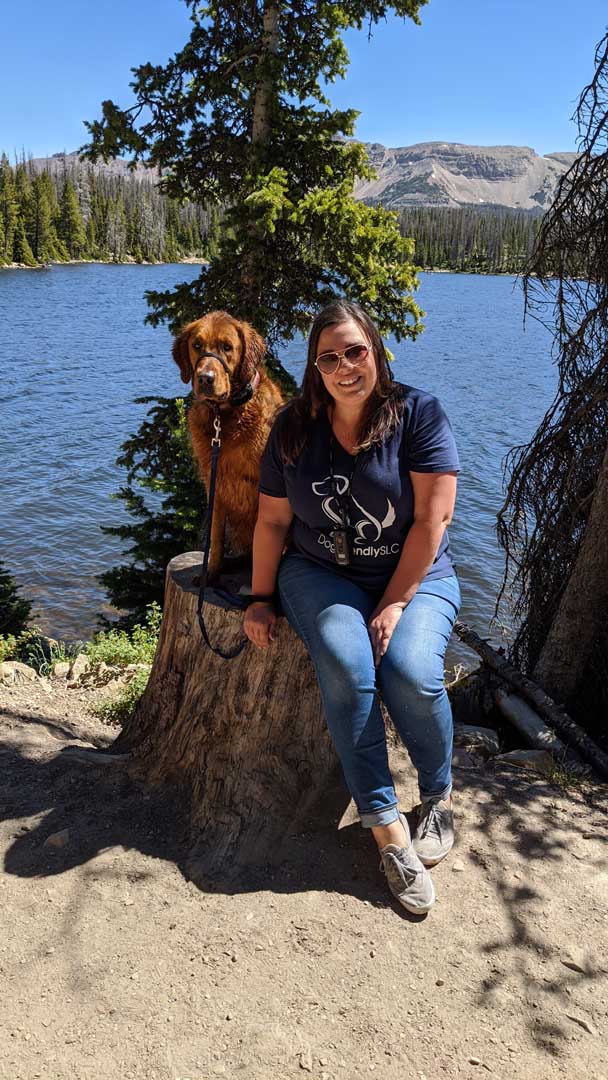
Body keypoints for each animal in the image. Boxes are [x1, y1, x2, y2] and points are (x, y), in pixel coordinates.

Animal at [172, 313, 285, 583]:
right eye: (197, 345)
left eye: (227, 347)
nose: (205, 378)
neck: (224, 417)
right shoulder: (213, 481)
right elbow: (215, 537)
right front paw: (211, 573)